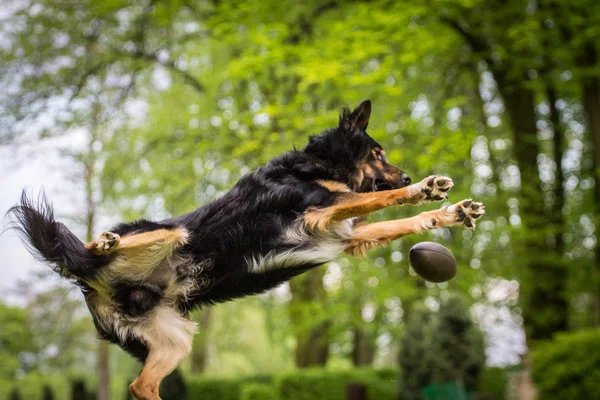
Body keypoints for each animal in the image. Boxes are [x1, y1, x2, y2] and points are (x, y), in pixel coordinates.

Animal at [9, 99, 486, 396]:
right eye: (378, 153)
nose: (406, 175)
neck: (319, 166)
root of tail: (90, 282)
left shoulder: (346, 235)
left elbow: (400, 221)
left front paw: (450, 213)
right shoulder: (320, 213)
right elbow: (382, 199)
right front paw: (424, 190)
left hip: (173, 341)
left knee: (140, 386)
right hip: (170, 234)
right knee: (95, 247)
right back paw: (105, 241)